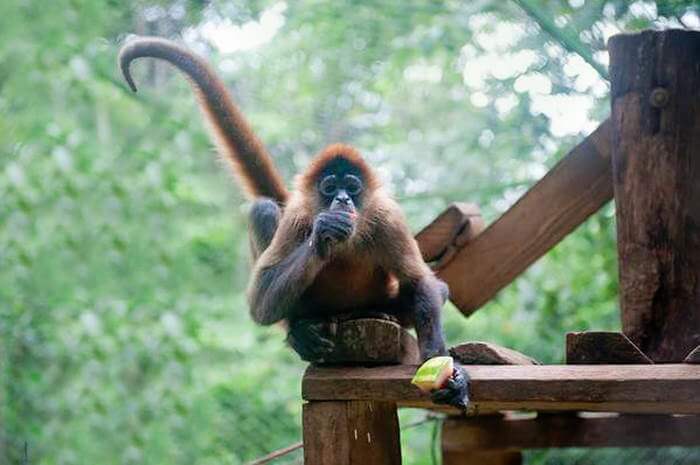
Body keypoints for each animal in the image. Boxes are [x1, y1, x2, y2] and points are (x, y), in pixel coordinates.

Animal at [119, 37, 469, 409]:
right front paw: (323, 233)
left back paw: (382, 316)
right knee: (263, 209)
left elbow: (421, 283)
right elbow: (259, 305)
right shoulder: (299, 216)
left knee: (433, 290)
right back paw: (299, 331)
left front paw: (451, 377)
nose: (342, 200)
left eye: (352, 187)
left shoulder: (388, 219)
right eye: (330, 187)